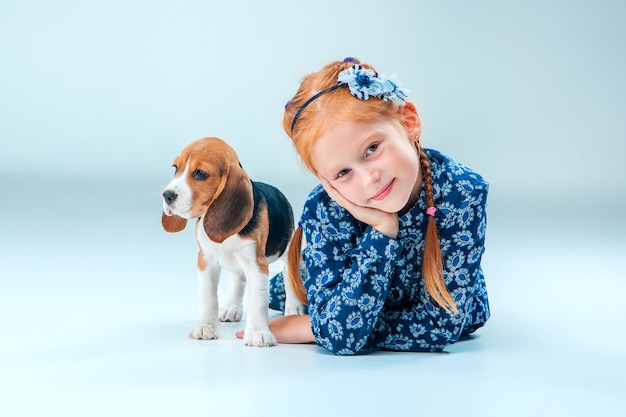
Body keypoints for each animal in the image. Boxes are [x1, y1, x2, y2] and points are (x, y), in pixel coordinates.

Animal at [161, 137, 304, 348]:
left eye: (200, 173)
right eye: (175, 168)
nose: (167, 195)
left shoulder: (256, 264)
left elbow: (257, 300)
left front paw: (258, 332)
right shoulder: (206, 260)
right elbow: (209, 296)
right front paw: (205, 326)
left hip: (287, 249)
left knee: (289, 274)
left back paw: (294, 308)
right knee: (238, 278)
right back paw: (232, 308)